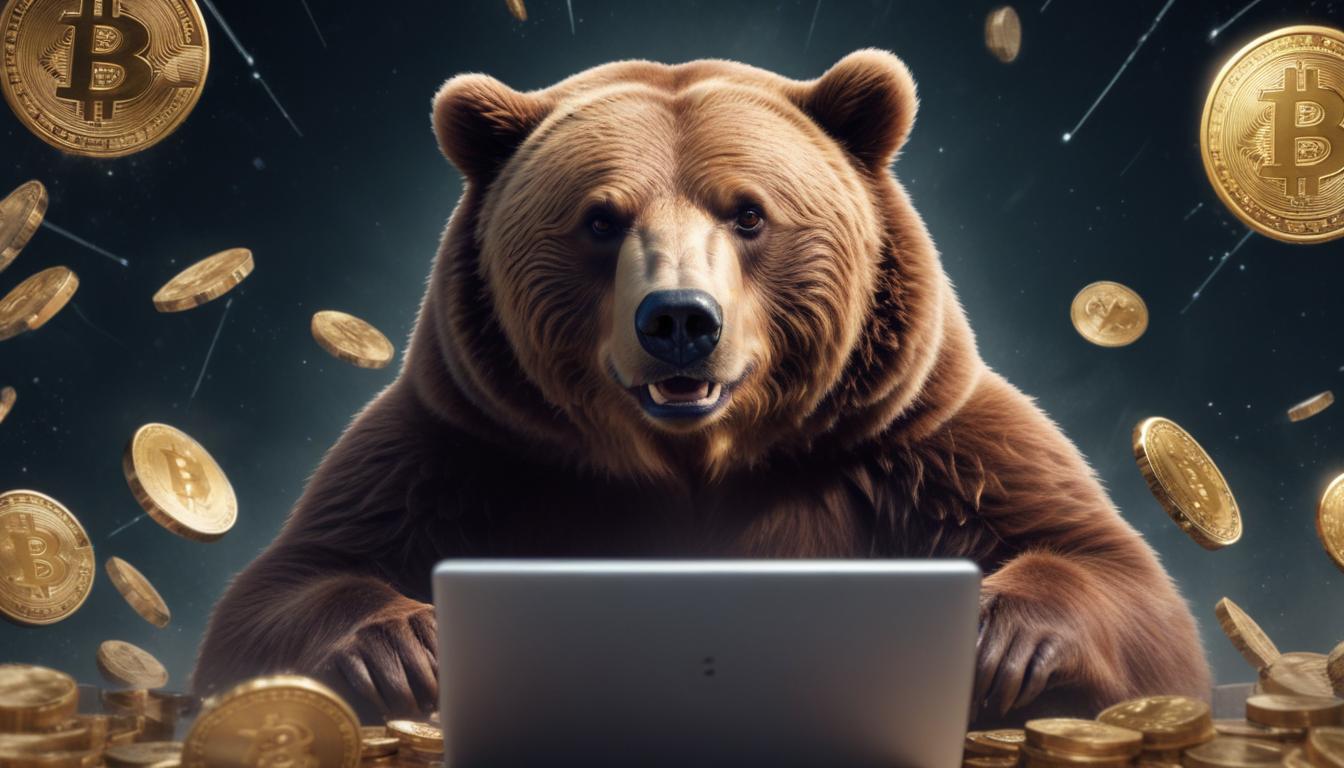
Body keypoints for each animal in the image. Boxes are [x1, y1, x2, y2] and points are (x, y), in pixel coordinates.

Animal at [193, 50, 1211, 728]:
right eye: (601, 218)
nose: (679, 318)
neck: (693, 465)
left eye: (748, 212)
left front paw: (1001, 635)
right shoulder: (464, 447)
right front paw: (402, 646)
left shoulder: (918, 438)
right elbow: (282, 590)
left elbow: (1120, 580)